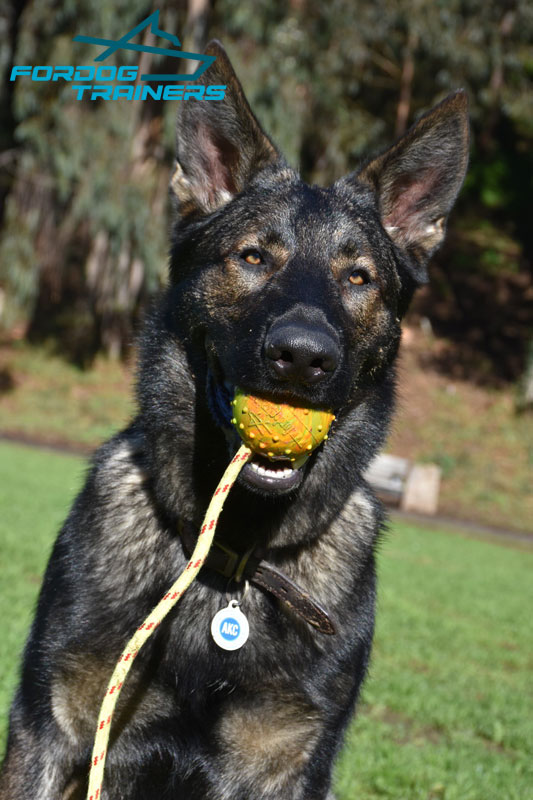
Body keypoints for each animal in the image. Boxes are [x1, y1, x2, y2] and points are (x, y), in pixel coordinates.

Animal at [0, 42, 466, 800]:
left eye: (358, 277)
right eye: (252, 257)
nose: (302, 356)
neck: (230, 560)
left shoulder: (286, 765)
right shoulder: (54, 733)